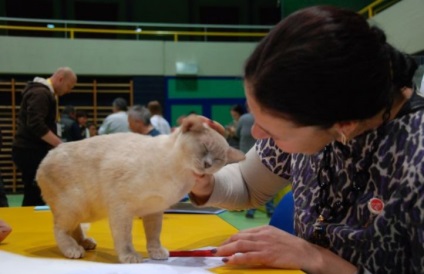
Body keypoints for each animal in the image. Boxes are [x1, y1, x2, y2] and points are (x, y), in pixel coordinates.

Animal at [36, 115, 245, 264]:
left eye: (218, 159)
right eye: (204, 147)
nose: (207, 164)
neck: (179, 176)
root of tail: (46, 157)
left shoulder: (154, 210)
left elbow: (153, 236)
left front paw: (156, 253)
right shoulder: (122, 209)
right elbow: (125, 238)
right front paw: (130, 257)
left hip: (86, 211)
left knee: (74, 228)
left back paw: (85, 243)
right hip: (75, 206)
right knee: (60, 229)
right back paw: (74, 249)